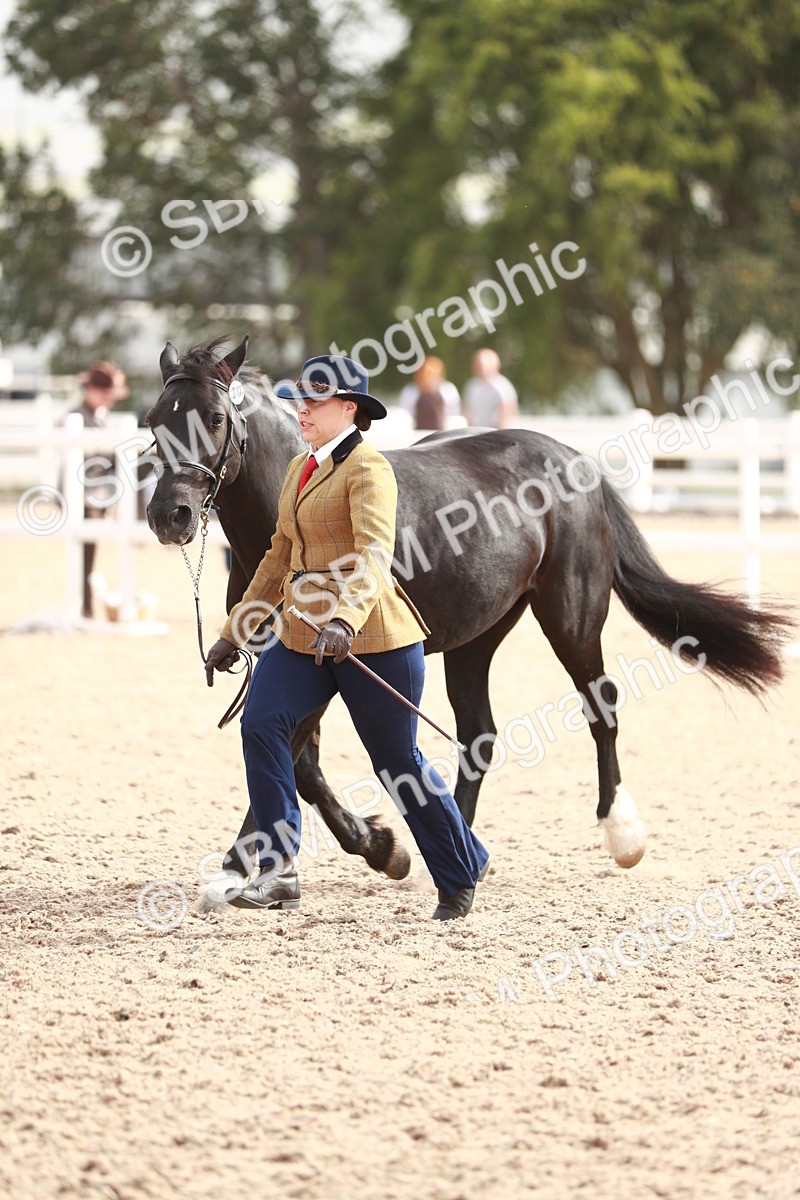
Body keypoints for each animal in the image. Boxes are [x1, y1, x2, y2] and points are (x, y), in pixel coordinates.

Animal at [145, 336, 791, 882]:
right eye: (153, 421)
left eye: (217, 419)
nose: (168, 515)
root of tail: (575, 461)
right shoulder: (287, 658)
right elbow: (292, 755)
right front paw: (257, 856)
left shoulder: (336, 657)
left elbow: (299, 762)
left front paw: (379, 849)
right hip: (475, 637)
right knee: (478, 734)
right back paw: (460, 844)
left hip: (572, 615)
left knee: (600, 707)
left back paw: (620, 833)